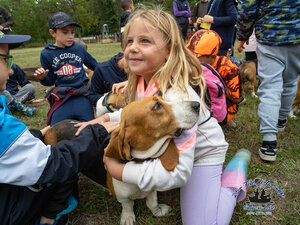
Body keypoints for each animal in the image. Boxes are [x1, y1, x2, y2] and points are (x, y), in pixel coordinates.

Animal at [104, 96, 200, 225]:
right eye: (157, 106)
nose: (197, 104)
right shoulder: (122, 196)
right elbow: (127, 205)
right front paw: (127, 216)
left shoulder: (152, 191)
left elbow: (152, 204)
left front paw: (159, 210)